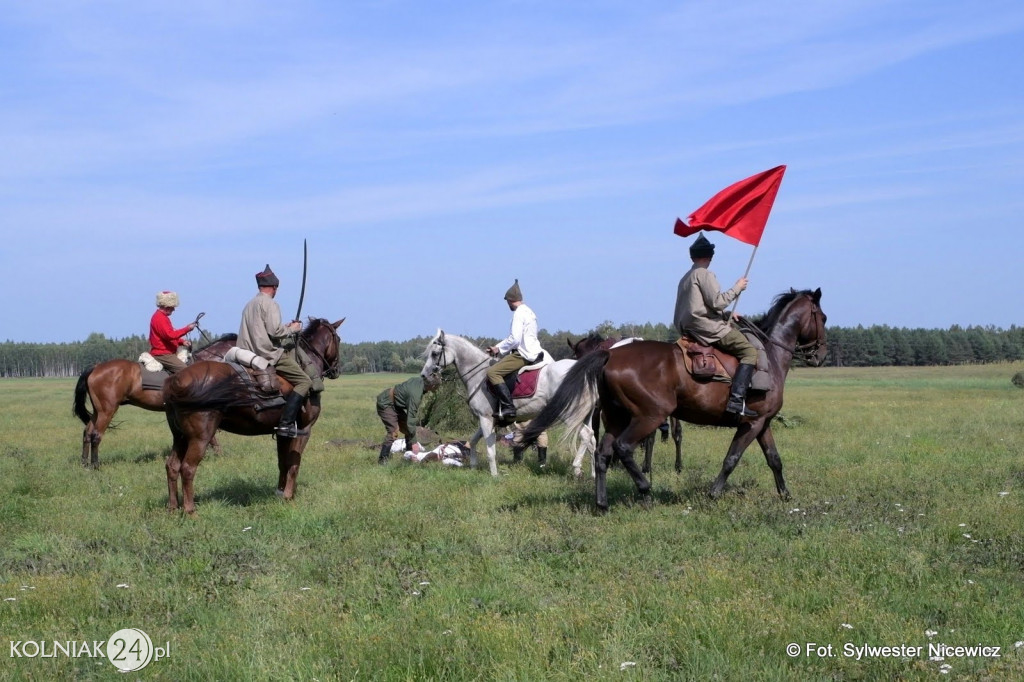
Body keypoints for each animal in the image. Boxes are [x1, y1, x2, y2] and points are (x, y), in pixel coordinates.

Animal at [72, 333, 235, 466]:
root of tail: (96, 367)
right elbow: (210, 435)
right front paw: (219, 455)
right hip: (107, 411)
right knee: (96, 435)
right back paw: (95, 466)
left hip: (97, 411)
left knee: (87, 433)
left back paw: (84, 464)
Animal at [162, 315, 344, 512]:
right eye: (338, 339)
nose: (336, 370)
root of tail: (175, 380)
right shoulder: (304, 430)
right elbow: (294, 463)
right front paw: (288, 496)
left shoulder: (283, 433)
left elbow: (283, 463)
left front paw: (280, 493)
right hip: (199, 438)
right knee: (187, 468)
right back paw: (190, 511)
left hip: (180, 436)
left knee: (172, 466)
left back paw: (173, 507)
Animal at [419, 327, 598, 475]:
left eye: (435, 353)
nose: (424, 376)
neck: (478, 375)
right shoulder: (487, 420)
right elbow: (473, 441)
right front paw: (474, 466)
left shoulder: (485, 419)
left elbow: (490, 451)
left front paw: (494, 476)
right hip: (586, 414)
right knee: (592, 440)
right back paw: (593, 474)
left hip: (570, 413)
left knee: (585, 435)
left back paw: (576, 468)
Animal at [524, 288, 827, 507]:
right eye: (822, 318)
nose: (821, 355)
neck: (769, 354)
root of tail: (611, 354)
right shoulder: (751, 424)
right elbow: (731, 459)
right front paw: (713, 494)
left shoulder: (762, 423)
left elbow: (774, 459)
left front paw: (785, 494)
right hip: (648, 416)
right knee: (624, 448)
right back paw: (646, 491)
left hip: (617, 418)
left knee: (603, 453)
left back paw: (602, 503)